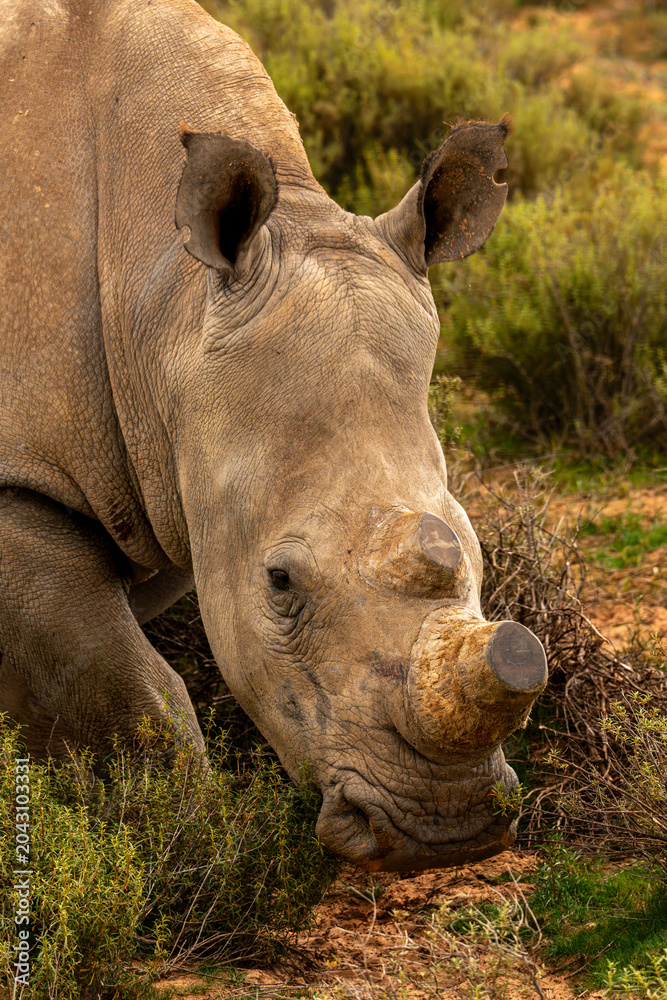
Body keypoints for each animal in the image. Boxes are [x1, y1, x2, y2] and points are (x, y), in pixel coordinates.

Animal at [0, 0, 547, 872]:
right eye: (279, 581)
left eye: (476, 550)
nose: (443, 829)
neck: (165, 301)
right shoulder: (20, 485)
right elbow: (132, 698)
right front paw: (183, 844)